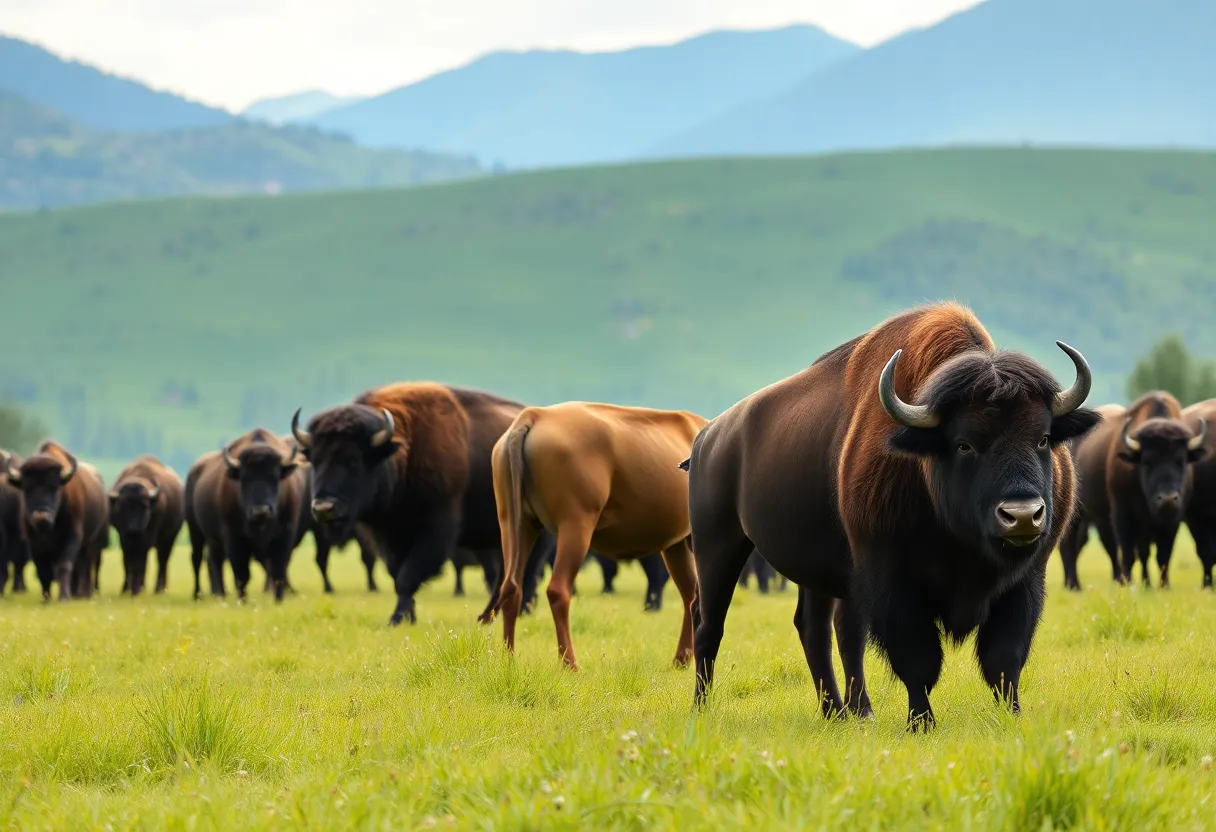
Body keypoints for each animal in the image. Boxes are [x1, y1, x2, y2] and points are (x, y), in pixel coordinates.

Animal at [6, 441, 109, 601]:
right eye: (27, 489)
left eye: (54, 487)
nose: (41, 517)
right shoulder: (34, 543)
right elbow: (42, 570)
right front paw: (46, 599)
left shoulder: (73, 537)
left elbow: (64, 565)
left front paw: (64, 597)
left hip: (93, 541)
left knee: (87, 565)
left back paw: (84, 594)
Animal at [109, 455, 185, 596]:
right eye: (123, 506)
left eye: (144, 506)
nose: (134, 528)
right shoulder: (124, 539)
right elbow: (127, 562)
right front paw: (126, 589)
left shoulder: (145, 541)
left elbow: (141, 563)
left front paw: (137, 589)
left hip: (169, 539)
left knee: (162, 561)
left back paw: (159, 589)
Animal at [292, 384, 552, 626]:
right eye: (315, 460)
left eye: (353, 460)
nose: (324, 508)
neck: (405, 452)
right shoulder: (389, 538)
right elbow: (398, 574)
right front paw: (407, 616)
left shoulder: (436, 531)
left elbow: (410, 575)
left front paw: (397, 618)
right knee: (505, 576)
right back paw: (487, 616)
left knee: (526, 572)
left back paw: (518, 612)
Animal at [684, 303, 1099, 730]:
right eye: (964, 444)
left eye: (1043, 438)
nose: (1022, 516)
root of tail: (709, 436)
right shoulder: (890, 581)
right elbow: (918, 661)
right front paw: (922, 723)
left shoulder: (1025, 581)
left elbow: (1004, 659)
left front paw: (1012, 716)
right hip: (718, 546)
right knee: (709, 623)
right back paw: (703, 708)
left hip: (814, 572)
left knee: (816, 629)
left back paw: (841, 712)